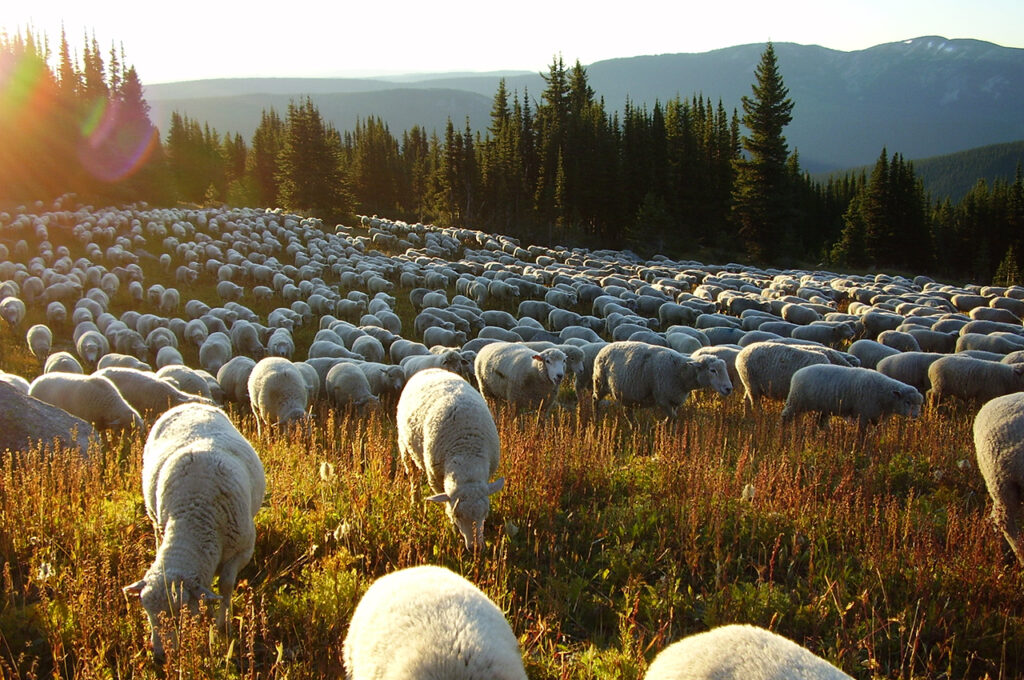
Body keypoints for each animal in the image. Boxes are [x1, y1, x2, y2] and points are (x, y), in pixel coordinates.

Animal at [123, 403, 265, 663]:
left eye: (179, 614)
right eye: (147, 613)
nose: (159, 657)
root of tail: (189, 403)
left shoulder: (242, 550)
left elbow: (226, 586)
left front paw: (222, 625)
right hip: (154, 517)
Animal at [397, 369, 505, 550]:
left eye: (485, 512)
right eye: (458, 515)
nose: (476, 548)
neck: (467, 454)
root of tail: (428, 369)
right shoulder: (436, 479)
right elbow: (446, 504)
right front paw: (453, 529)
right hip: (405, 447)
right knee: (413, 478)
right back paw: (415, 503)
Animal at [592, 341, 732, 425]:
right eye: (712, 370)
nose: (728, 389)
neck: (681, 373)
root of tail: (606, 347)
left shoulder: (675, 400)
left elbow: (674, 418)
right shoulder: (663, 399)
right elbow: (673, 417)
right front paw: (663, 426)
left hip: (628, 395)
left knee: (628, 413)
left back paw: (635, 427)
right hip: (600, 383)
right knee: (595, 400)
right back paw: (596, 419)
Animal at [781, 364, 922, 431]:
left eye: (919, 404)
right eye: (907, 402)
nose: (915, 416)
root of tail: (797, 373)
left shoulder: (876, 417)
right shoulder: (863, 415)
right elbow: (862, 433)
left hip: (821, 408)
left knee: (820, 422)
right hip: (796, 401)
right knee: (785, 416)